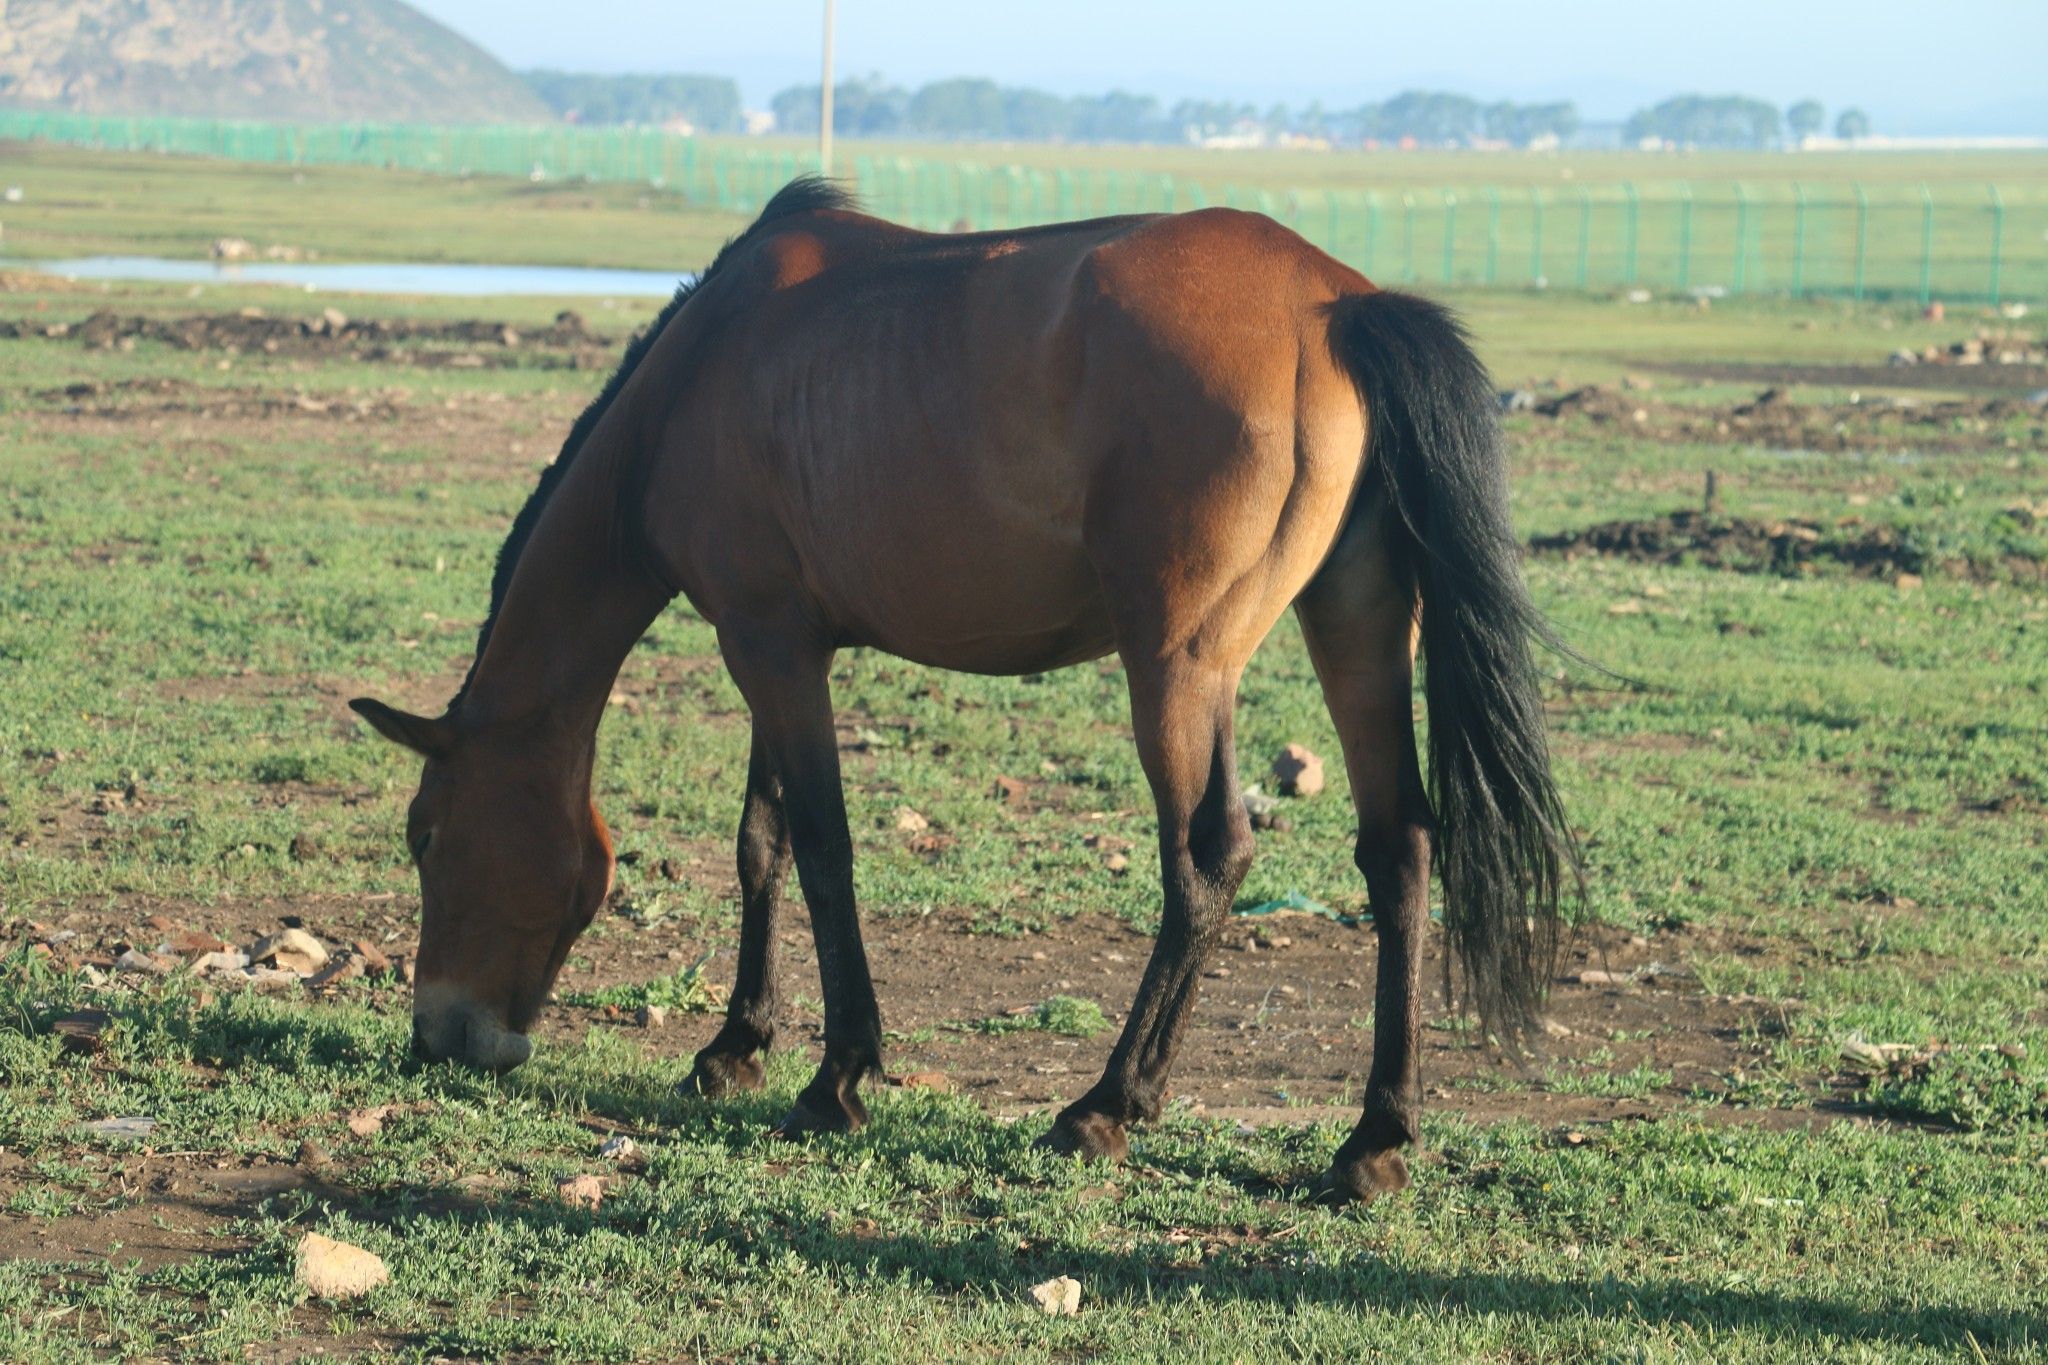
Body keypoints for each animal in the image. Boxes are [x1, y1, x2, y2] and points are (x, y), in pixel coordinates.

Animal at [350, 178, 1575, 1205]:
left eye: (425, 835)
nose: (440, 1035)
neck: (697, 381)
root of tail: (1336, 306)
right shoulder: (778, 644)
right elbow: (763, 842)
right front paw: (736, 1045)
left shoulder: (769, 646)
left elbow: (823, 848)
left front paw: (836, 1077)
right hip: (1353, 626)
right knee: (1398, 847)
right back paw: (1372, 1138)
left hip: (1178, 663)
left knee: (1208, 857)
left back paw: (1106, 1105)